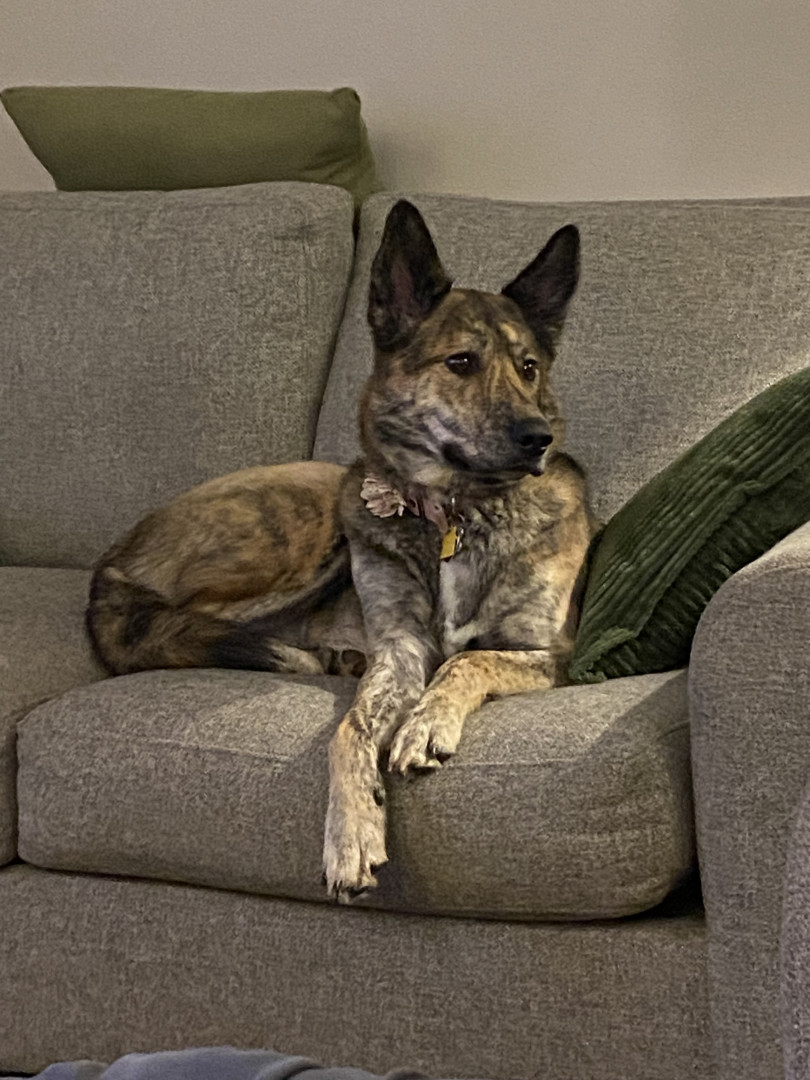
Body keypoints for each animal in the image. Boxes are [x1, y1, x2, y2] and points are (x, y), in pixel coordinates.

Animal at [86, 200, 593, 902]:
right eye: (461, 363)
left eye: (529, 368)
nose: (536, 438)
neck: (456, 515)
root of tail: (114, 555)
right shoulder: (401, 650)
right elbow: (349, 729)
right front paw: (351, 833)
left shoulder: (552, 652)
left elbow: (469, 661)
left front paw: (426, 722)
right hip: (318, 523)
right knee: (175, 625)